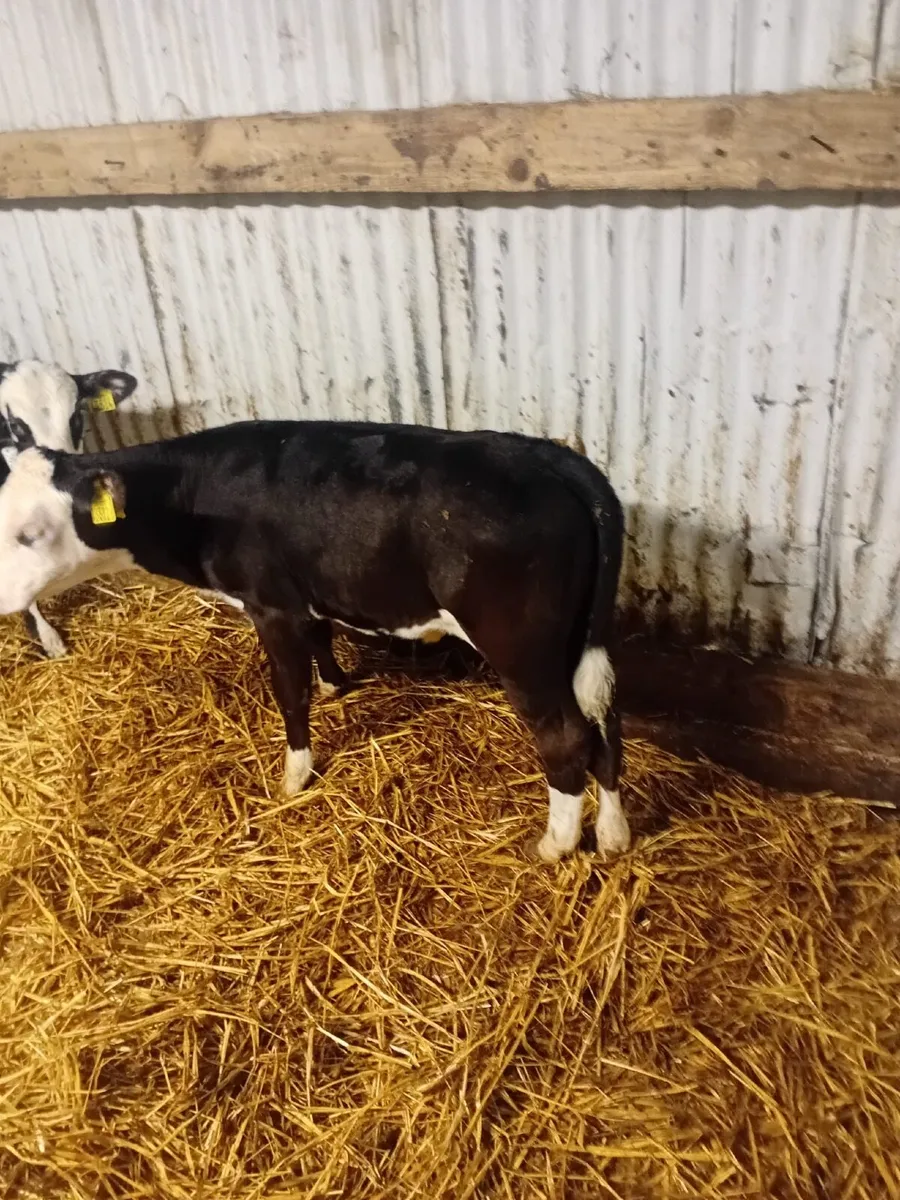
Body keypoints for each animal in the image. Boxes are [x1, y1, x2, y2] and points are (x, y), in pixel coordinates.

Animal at [0, 420, 630, 862]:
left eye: (30, 533)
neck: (193, 494)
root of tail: (553, 458)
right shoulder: (309, 591)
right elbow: (321, 641)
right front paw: (336, 684)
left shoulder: (271, 605)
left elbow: (289, 692)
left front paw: (295, 775)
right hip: (581, 639)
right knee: (605, 719)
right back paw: (614, 833)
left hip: (523, 650)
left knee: (567, 736)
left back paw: (555, 844)